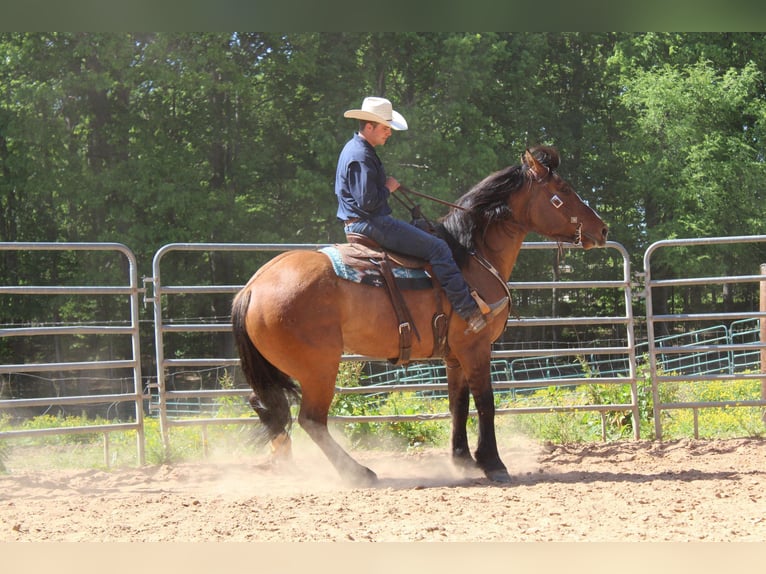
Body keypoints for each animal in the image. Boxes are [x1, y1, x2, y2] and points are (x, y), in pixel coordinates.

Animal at [231, 146, 608, 488]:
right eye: (563, 191)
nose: (602, 230)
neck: (470, 256)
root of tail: (252, 287)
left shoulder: (454, 355)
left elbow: (458, 403)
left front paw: (462, 460)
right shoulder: (476, 347)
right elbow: (486, 401)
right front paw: (493, 464)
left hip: (282, 368)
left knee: (267, 406)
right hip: (318, 368)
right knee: (311, 419)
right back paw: (359, 473)